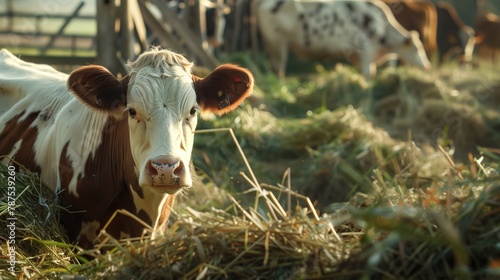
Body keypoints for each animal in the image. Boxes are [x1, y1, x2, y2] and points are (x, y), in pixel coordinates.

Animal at [252, 0, 432, 80]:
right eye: (418, 49)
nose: (427, 65)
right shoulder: (366, 51)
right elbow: (369, 74)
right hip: (278, 43)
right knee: (278, 68)